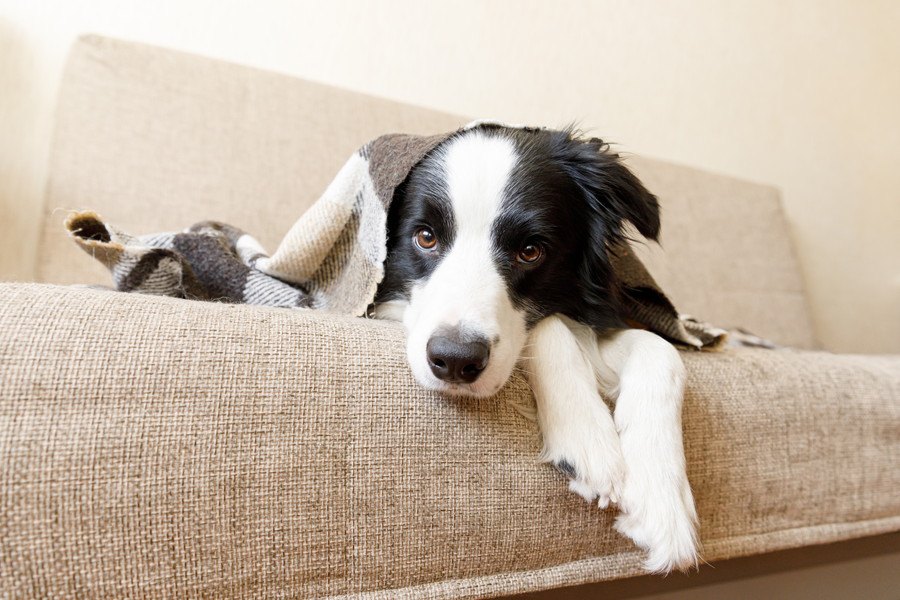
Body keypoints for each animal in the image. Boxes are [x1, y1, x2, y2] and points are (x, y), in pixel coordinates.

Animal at [370, 125, 700, 572]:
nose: (455, 360)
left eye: (530, 251)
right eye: (425, 237)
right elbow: (550, 325)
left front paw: (662, 502)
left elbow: (663, 351)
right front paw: (587, 437)